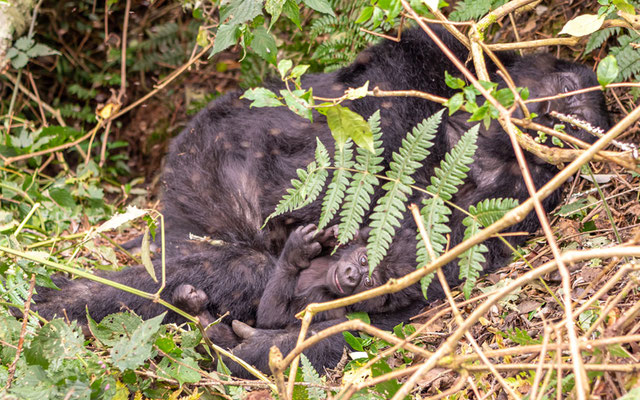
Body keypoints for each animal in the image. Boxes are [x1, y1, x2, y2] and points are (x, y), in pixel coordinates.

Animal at [175, 225, 376, 338]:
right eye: (363, 260)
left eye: (368, 282)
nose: (352, 275)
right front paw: (331, 237)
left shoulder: (325, 303)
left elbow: (272, 319)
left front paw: (296, 251)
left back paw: (193, 310)